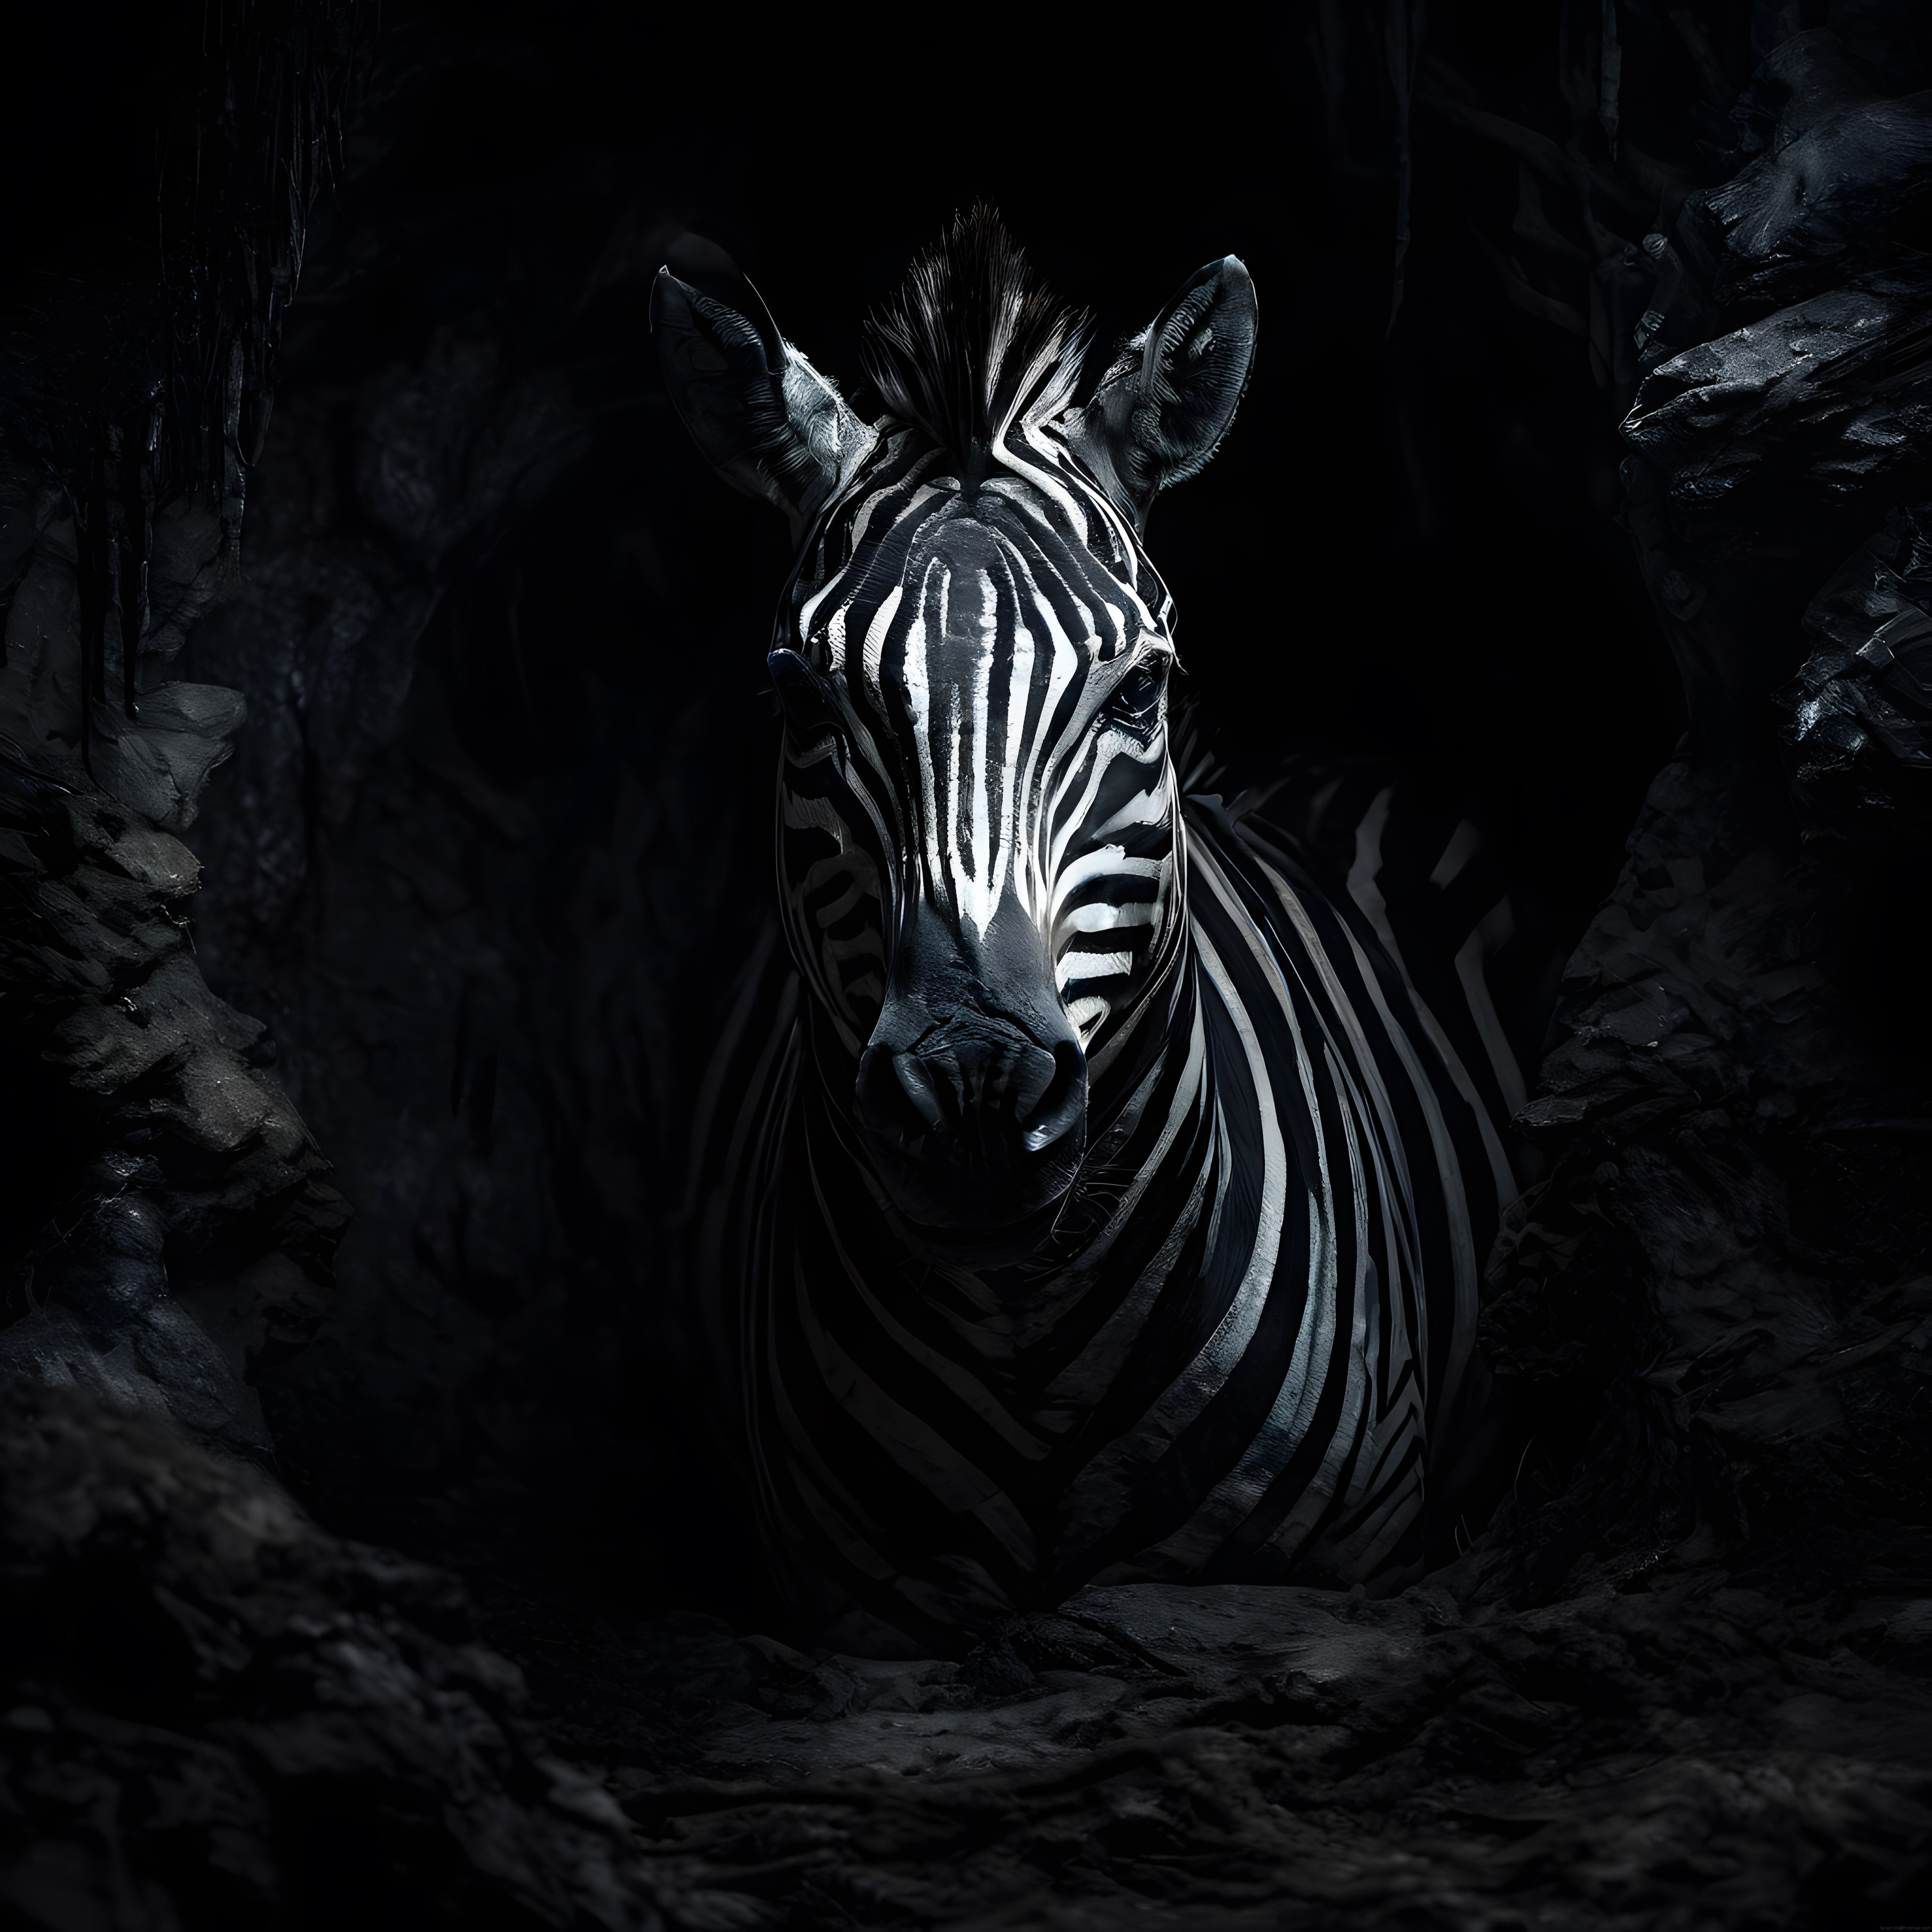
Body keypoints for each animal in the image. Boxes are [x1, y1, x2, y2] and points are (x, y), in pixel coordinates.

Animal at [654, 211, 1524, 1654]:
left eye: (1138, 692)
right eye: (799, 704)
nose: (972, 1094)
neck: (1032, 1319)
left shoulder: (1320, 1570)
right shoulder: (873, 1604)